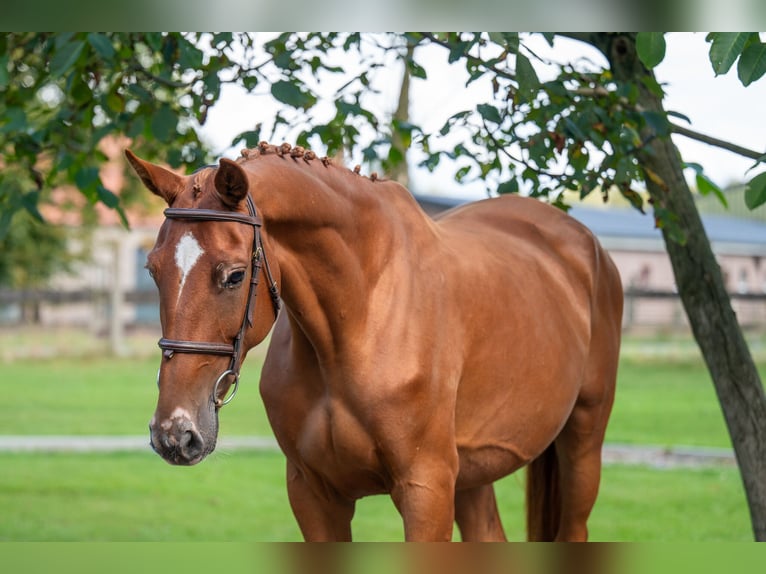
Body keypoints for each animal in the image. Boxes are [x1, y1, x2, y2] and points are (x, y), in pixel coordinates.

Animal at [126, 144, 624, 544]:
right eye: (153, 270)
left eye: (233, 275)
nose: (174, 432)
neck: (358, 323)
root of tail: (585, 244)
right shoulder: (313, 494)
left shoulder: (425, 491)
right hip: (472, 475)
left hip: (583, 444)